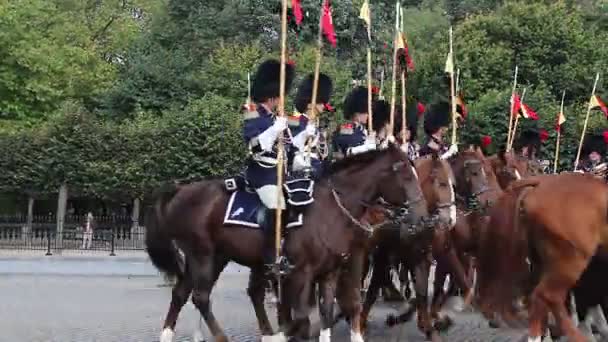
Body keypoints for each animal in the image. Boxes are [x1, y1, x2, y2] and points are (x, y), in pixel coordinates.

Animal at [145, 144, 428, 342]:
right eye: (405, 174)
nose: (423, 215)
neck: (330, 209)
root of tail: (182, 189)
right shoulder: (301, 273)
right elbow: (302, 318)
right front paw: (283, 334)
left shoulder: (329, 273)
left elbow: (326, 313)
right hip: (203, 255)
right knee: (201, 297)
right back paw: (226, 337)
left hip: (215, 257)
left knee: (183, 293)